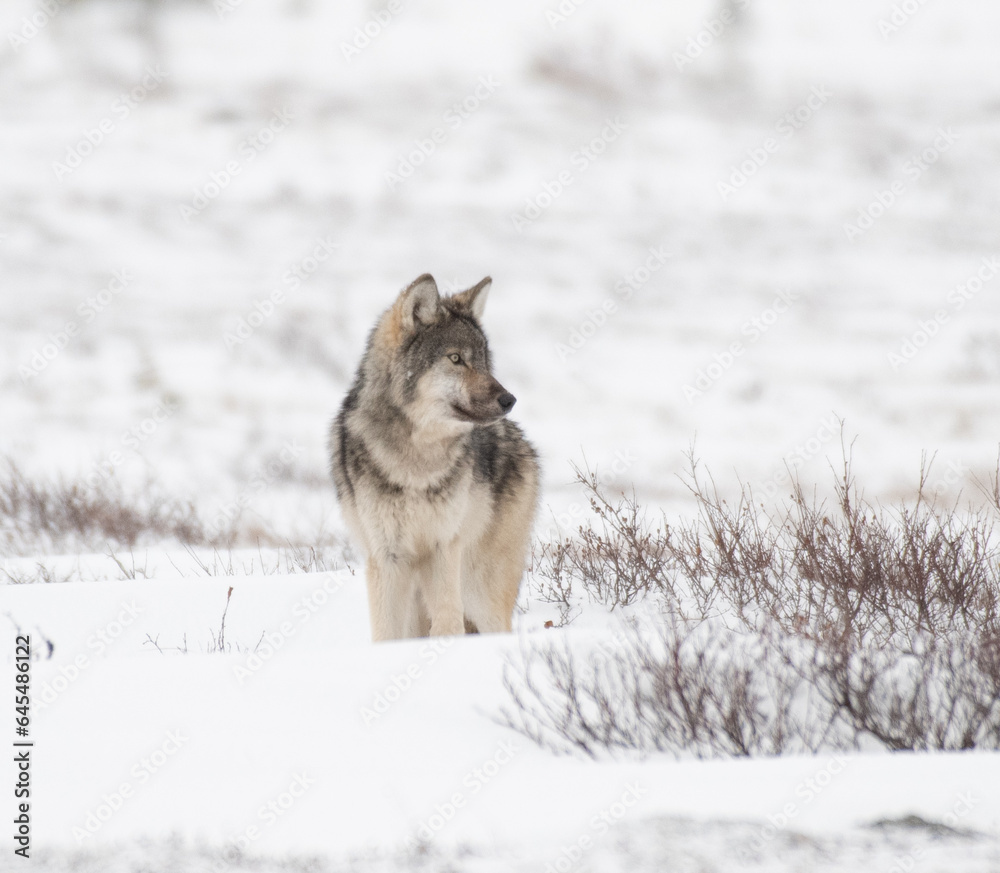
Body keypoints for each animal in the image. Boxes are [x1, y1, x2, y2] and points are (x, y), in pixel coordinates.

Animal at [329, 274, 539, 642]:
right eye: (455, 359)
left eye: (484, 362)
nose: (509, 399)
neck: (417, 460)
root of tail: (522, 440)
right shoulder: (387, 557)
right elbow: (386, 635)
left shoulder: (444, 547)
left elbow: (447, 625)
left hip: (477, 587)